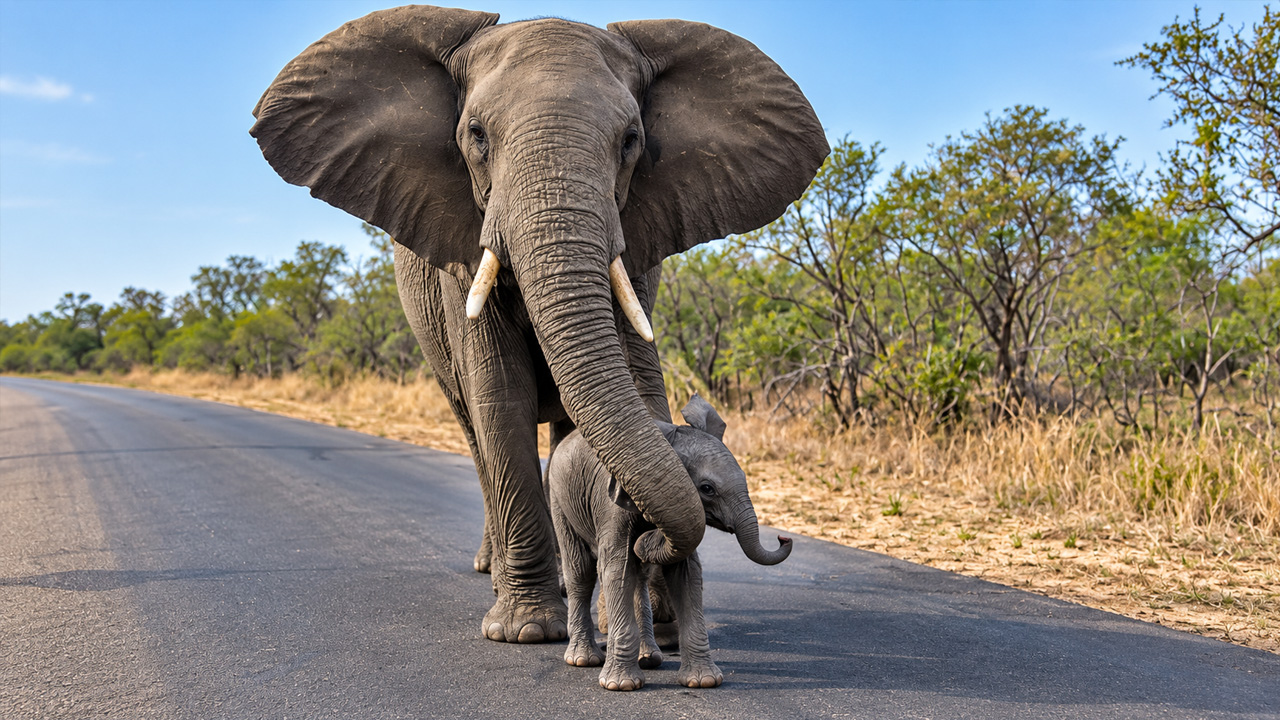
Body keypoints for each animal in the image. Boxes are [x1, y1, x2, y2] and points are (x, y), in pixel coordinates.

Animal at [250, 5, 827, 645]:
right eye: (476, 136)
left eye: (631, 141)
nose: (783, 539)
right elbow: (501, 396)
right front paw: (527, 631)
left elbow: (635, 375)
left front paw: (660, 619)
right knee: (476, 429)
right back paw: (497, 573)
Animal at [548, 395, 792, 691]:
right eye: (707, 489)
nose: (783, 537)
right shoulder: (611, 508)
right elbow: (617, 569)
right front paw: (621, 686)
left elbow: (686, 574)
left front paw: (704, 681)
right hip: (560, 497)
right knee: (582, 571)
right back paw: (583, 659)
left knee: (638, 578)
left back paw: (649, 658)